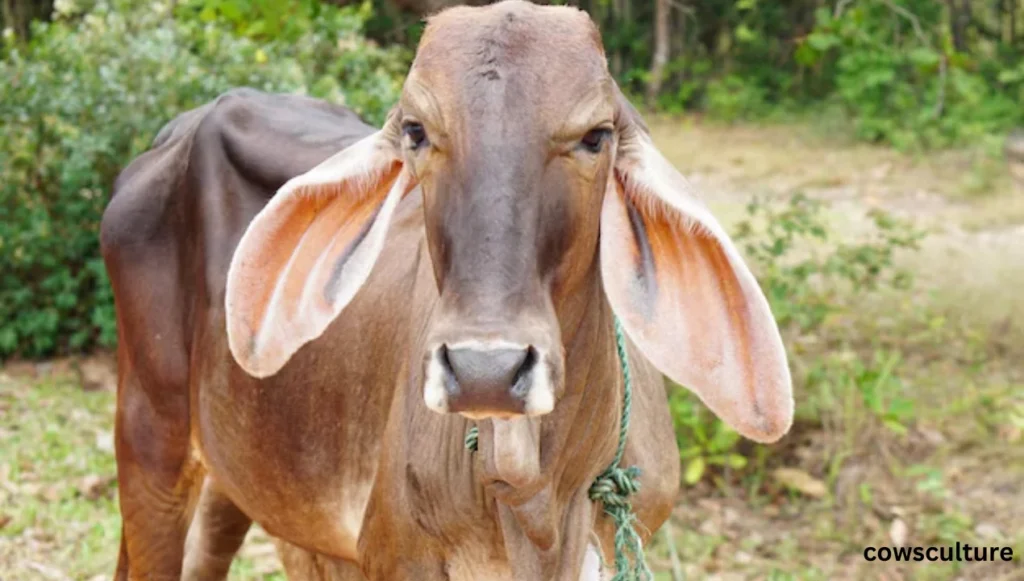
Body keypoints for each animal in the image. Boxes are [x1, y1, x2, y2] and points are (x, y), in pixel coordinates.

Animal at [101, 2, 790, 577]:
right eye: (416, 131)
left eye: (596, 135)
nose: (487, 372)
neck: (541, 507)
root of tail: (177, 133)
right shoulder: (395, 554)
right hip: (150, 437)